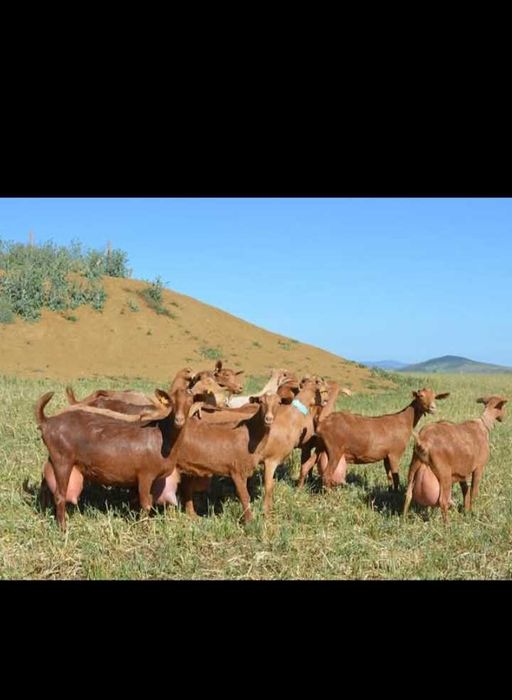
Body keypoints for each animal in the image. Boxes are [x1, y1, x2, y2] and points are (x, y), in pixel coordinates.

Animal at [316, 388, 450, 491]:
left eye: (435, 396)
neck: (405, 420)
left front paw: (390, 491)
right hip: (335, 450)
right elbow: (396, 477)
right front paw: (396, 494)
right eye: (421, 396)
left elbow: (389, 476)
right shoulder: (395, 453)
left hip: (320, 447)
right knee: (327, 474)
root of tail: (323, 424)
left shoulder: (386, 456)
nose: (433, 408)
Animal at [403, 395, 507, 523]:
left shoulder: (461, 472)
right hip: (444, 473)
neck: (483, 425)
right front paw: (472, 512)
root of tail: (422, 442)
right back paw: (447, 524)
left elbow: (465, 490)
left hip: (413, 466)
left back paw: (403, 520)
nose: (503, 417)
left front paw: (466, 511)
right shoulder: (479, 468)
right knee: (442, 501)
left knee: (408, 495)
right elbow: (473, 492)